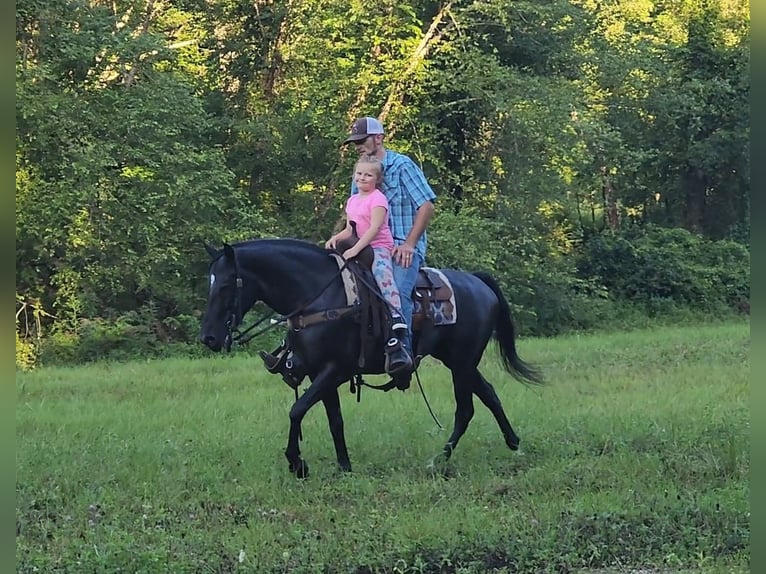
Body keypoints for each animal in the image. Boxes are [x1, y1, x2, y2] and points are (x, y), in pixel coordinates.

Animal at [201, 241, 544, 480]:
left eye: (227, 284)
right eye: (210, 282)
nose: (209, 338)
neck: (318, 298)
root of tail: (478, 281)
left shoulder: (335, 370)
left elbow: (296, 410)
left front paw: (297, 464)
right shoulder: (318, 374)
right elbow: (335, 421)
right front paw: (344, 466)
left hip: (461, 363)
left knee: (466, 409)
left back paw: (439, 460)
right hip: (459, 361)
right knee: (489, 394)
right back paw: (513, 444)